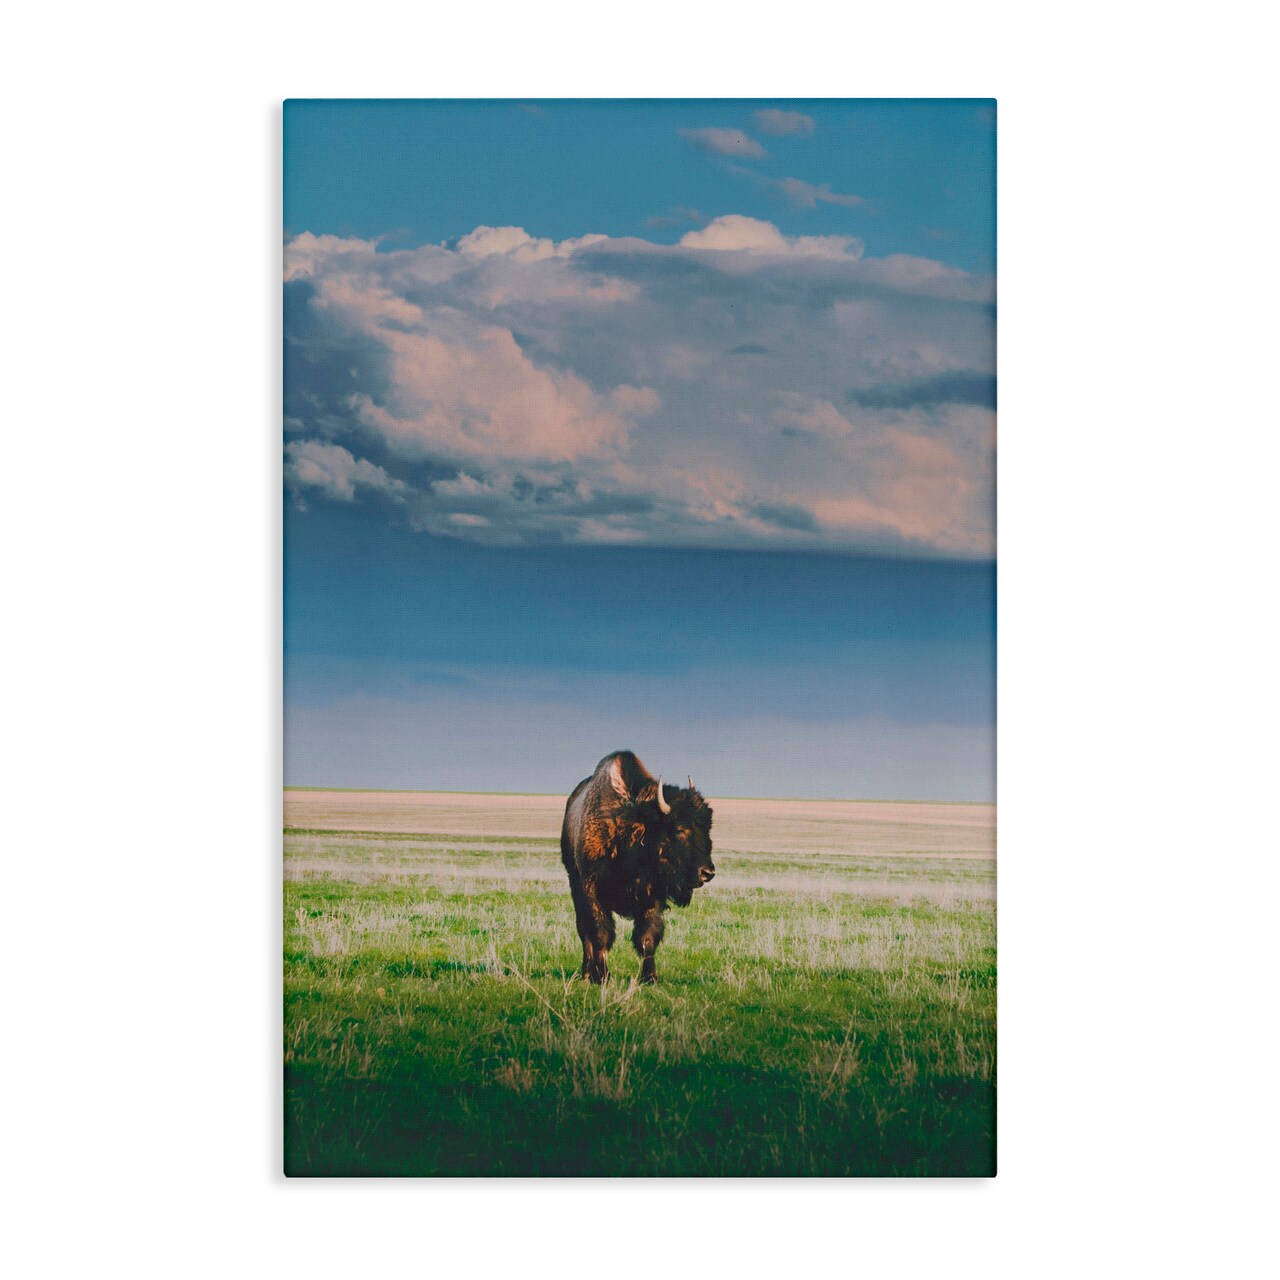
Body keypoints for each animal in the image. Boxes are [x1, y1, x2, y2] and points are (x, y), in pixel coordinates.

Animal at [560, 750, 715, 984]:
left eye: (708, 828)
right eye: (679, 829)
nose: (707, 872)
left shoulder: (652, 897)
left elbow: (647, 937)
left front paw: (650, 977)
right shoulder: (591, 890)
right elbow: (600, 934)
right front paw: (603, 976)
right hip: (574, 883)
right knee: (584, 931)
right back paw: (587, 972)